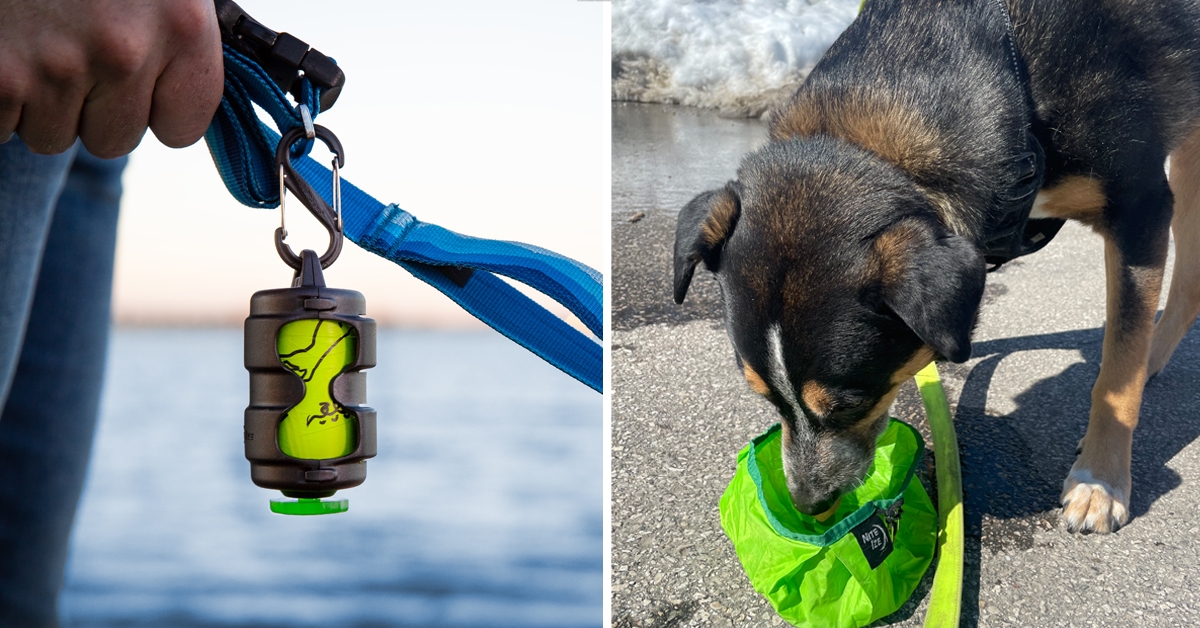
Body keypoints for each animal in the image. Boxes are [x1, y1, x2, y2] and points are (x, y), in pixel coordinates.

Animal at [672, 0, 1200, 535]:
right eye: (764, 399)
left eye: (851, 403)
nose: (808, 503)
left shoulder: (1141, 210)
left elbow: (1118, 372)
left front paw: (1100, 482)